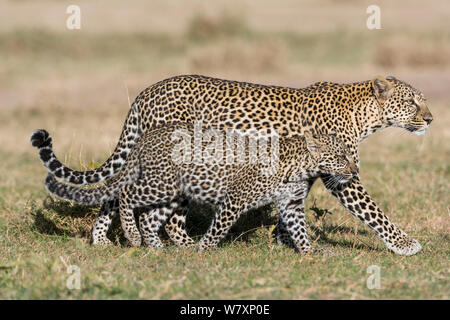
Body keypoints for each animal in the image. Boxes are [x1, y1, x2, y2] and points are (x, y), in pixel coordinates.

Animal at [31, 74, 432, 255]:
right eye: (413, 102)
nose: (430, 119)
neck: (365, 117)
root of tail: (146, 91)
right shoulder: (342, 178)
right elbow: (373, 211)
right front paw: (405, 243)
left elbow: (289, 211)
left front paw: (282, 242)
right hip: (174, 169)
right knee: (140, 204)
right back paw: (174, 244)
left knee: (120, 197)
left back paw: (107, 241)